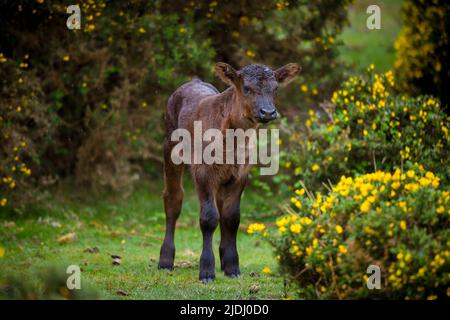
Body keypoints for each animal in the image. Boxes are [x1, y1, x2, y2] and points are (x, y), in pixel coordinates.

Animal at [156, 61, 300, 282]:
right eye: (246, 88)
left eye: (275, 89)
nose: (268, 112)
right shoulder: (202, 171)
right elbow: (208, 217)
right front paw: (206, 271)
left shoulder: (241, 173)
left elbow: (232, 217)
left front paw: (232, 267)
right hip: (169, 146)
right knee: (173, 199)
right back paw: (165, 261)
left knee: (220, 205)